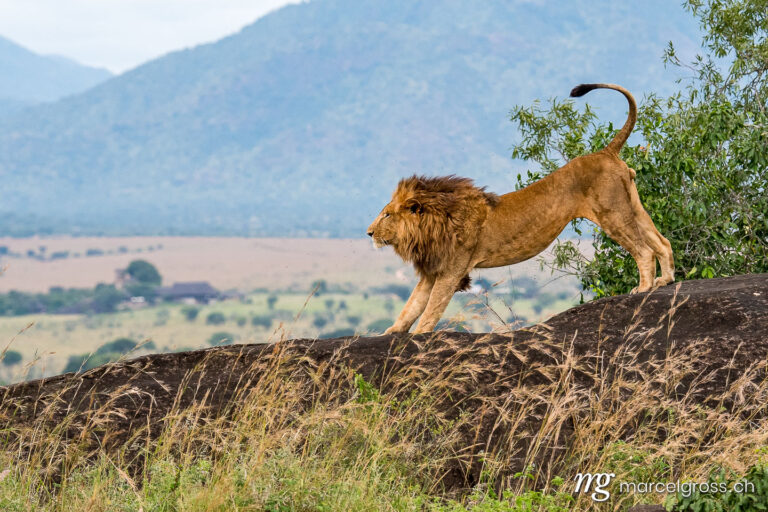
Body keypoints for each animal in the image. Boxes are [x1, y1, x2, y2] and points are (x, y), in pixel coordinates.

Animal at [368, 82, 676, 334]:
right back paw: (666, 280)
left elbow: (430, 311)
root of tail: (606, 151)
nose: (369, 233)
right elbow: (411, 307)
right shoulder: (433, 271)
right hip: (631, 205)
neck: (433, 223)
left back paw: (644, 287)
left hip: (612, 213)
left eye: (387, 214)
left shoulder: (452, 270)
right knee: (662, 241)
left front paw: (417, 336)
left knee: (644, 250)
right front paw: (389, 333)